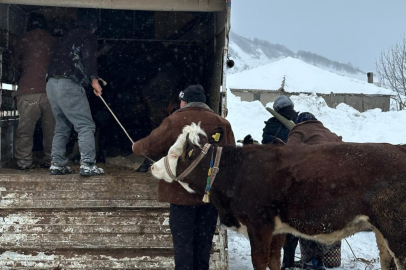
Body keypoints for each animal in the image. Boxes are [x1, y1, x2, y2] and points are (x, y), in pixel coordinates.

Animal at [151, 123, 406, 270]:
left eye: (173, 153)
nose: (153, 166)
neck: (236, 171)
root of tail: (398, 147)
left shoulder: (259, 225)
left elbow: (260, 261)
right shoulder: (278, 230)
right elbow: (274, 261)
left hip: (396, 230)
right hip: (382, 233)